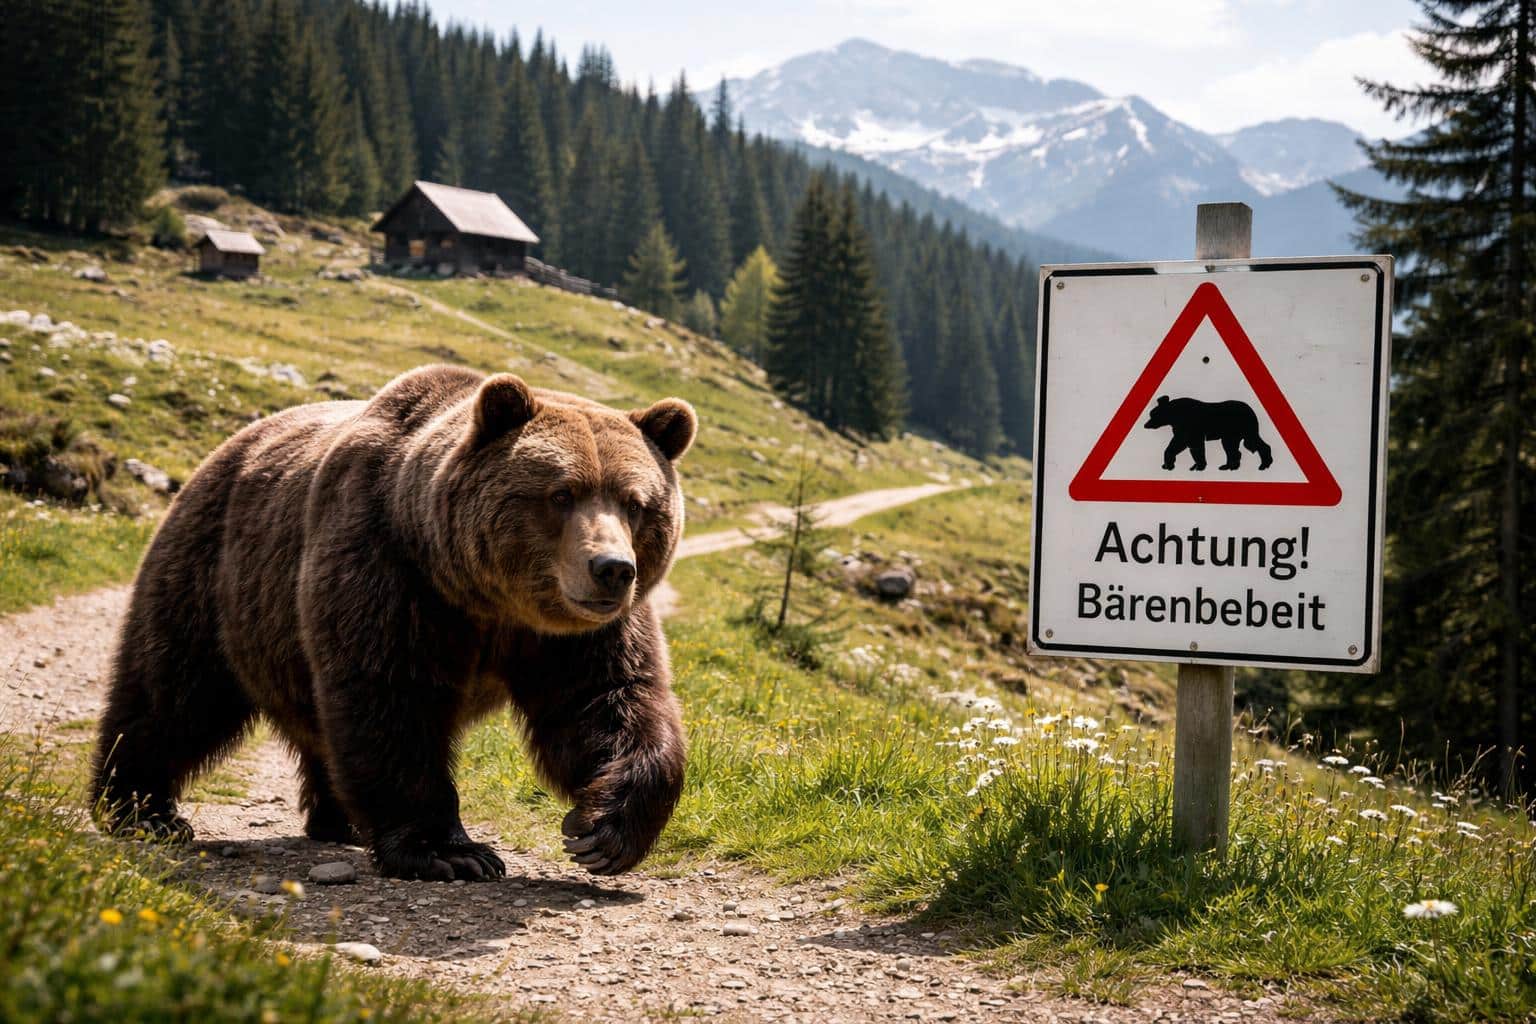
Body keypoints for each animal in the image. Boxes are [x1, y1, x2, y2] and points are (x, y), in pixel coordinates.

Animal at [91, 365, 696, 881]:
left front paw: (603, 830)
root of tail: (227, 448)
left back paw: (340, 821)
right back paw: (141, 810)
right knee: (173, 692)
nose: (611, 569)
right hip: (216, 574)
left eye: (635, 503)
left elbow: (607, 699)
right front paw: (451, 852)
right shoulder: (388, 565)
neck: (485, 598)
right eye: (561, 493)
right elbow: (391, 696)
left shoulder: (571, 634)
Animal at [1142, 395, 1273, 473]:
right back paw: (1228, 466)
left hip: (1244, 427)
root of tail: (1251, 410)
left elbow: (1195, 447)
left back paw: (1264, 464)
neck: (1175, 416)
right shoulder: (1181, 430)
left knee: (1252, 441)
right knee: (1232, 448)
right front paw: (1168, 465)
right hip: (1231, 433)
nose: (1145, 425)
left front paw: (1199, 466)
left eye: (1153, 414)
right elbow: (1176, 445)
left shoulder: (1192, 429)